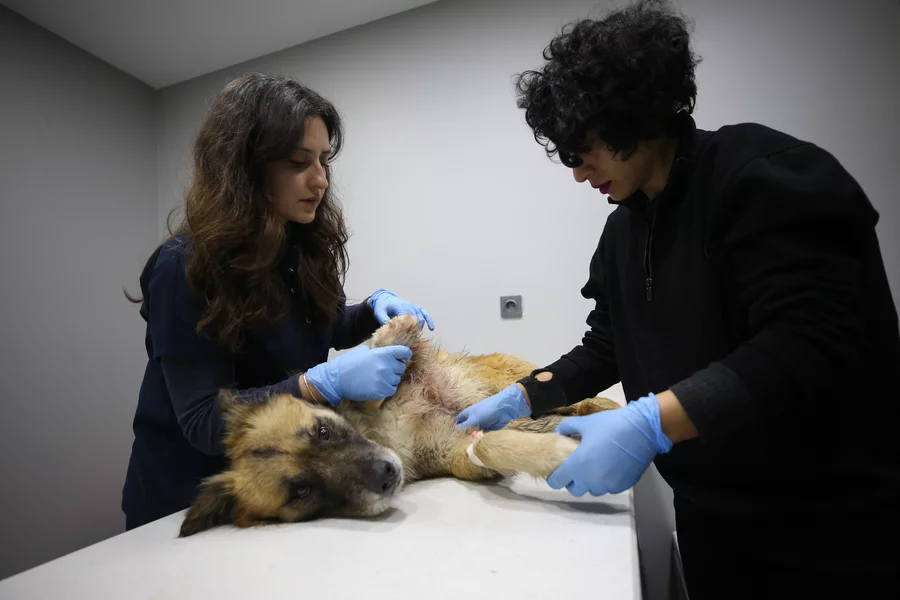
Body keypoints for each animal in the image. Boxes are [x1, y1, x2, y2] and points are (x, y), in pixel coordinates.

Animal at [179, 314, 620, 536]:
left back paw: (609, 408)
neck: (380, 433)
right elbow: (488, 444)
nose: (385, 474)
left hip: (515, 378)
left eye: (323, 431)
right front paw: (561, 454)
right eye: (302, 491)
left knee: (560, 392)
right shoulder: (461, 454)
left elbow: (379, 355)